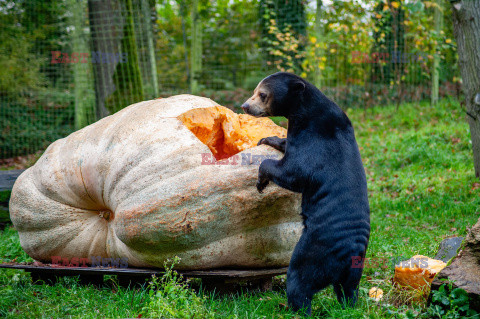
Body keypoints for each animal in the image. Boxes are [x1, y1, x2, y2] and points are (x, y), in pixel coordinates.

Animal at [242, 72, 370, 316]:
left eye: (262, 94)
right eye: (255, 91)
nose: (245, 106)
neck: (304, 113)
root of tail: (350, 252)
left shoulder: (315, 143)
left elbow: (294, 172)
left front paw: (261, 182)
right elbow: (285, 145)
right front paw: (267, 139)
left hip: (314, 251)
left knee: (299, 280)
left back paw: (295, 308)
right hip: (354, 270)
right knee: (348, 290)